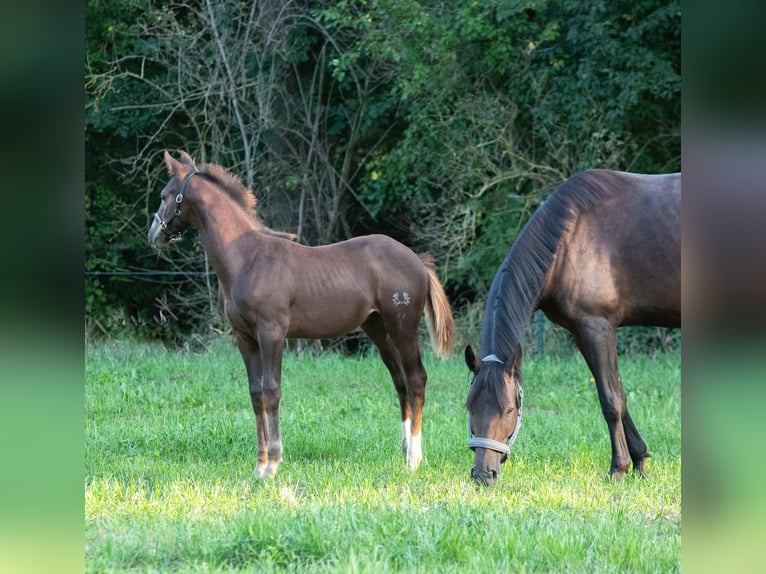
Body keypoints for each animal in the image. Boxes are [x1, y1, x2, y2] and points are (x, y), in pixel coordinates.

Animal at [148, 151, 456, 480]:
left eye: (165, 195)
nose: (153, 235)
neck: (247, 258)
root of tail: (417, 260)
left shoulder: (271, 333)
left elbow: (271, 392)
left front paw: (272, 465)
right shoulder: (244, 338)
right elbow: (255, 394)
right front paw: (258, 466)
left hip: (403, 328)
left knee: (416, 380)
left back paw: (414, 459)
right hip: (378, 330)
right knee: (400, 382)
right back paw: (404, 451)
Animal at [464, 170, 680, 486]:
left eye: (509, 409)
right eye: (470, 406)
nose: (483, 474)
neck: (569, 238)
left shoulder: (597, 327)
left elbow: (611, 400)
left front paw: (618, 468)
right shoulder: (581, 332)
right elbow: (620, 395)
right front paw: (640, 461)